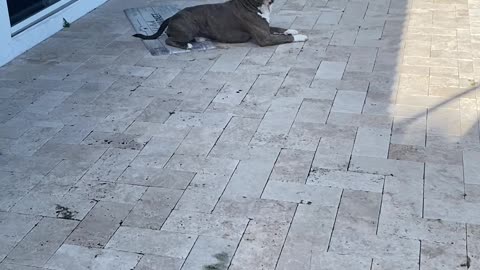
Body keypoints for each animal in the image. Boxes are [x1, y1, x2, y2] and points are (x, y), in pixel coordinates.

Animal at [133, 0, 310, 48]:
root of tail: (171, 17)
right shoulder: (264, 37)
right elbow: (285, 38)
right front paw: (301, 36)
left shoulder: (266, 27)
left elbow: (280, 29)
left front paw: (293, 30)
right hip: (188, 29)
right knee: (169, 40)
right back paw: (188, 45)